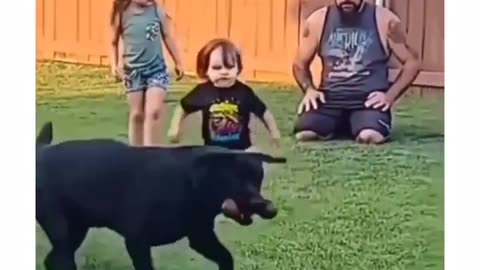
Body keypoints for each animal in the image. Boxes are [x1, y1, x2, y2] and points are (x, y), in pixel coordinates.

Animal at [36, 123, 284, 270]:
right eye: (235, 179)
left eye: (257, 179)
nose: (268, 207)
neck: (191, 184)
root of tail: (41, 152)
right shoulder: (136, 241)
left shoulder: (200, 237)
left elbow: (226, 258)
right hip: (62, 229)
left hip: (77, 228)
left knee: (53, 260)